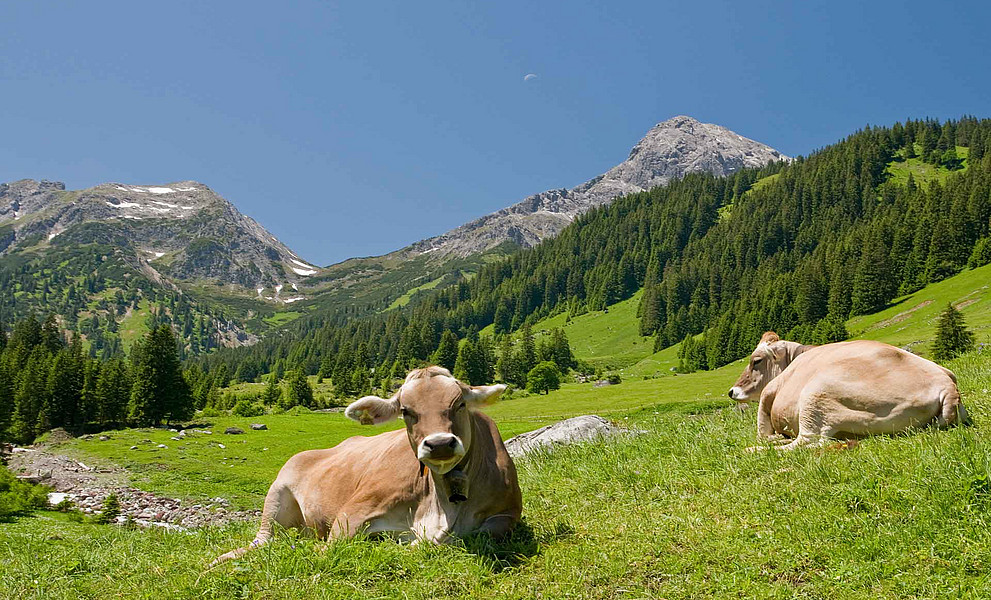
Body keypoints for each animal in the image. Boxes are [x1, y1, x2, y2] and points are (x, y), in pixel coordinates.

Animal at [212, 366, 522, 565]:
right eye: (406, 411)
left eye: (459, 404)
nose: (440, 443)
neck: (444, 504)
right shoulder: (353, 511)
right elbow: (329, 549)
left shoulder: (507, 515)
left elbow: (464, 537)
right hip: (276, 496)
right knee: (263, 541)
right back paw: (217, 562)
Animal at [728, 332, 968, 451]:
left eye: (756, 361)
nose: (732, 391)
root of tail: (947, 387)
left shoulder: (768, 395)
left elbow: (762, 431)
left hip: (816, 394)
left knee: (806, 442)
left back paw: (758, 450)